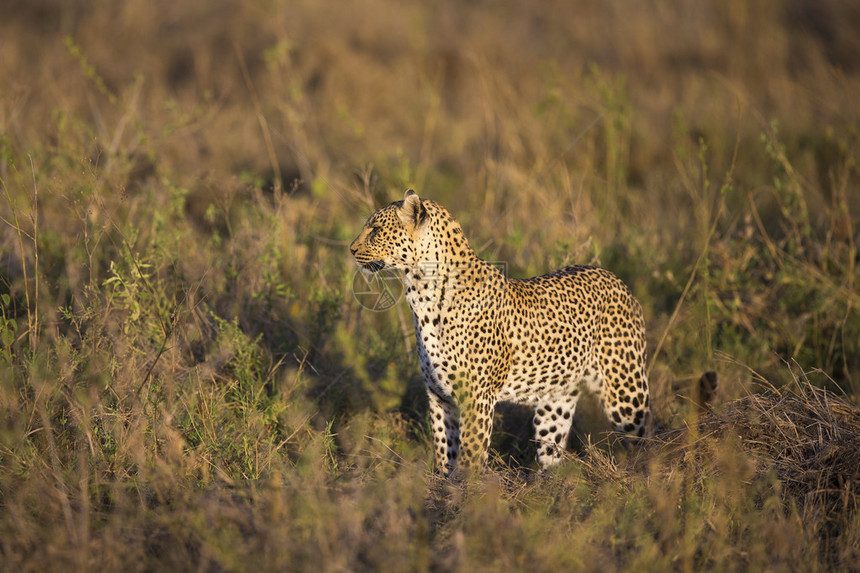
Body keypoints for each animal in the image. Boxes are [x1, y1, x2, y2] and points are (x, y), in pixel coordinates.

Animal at [350, 189, 672, 474]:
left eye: (375, 230)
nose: (351, 250)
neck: (421, 290)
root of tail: (615, 278)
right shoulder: (440, 397)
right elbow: (445, 451)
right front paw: (443, 490)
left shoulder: (476, 397)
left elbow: (470, 455)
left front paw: (466, 497)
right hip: (556, 399)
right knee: (552, 453)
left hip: (625, 389)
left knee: (645, 436)